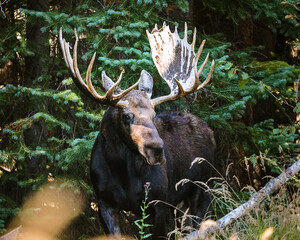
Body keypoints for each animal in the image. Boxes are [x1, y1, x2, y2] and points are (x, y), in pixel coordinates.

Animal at [59, 22, 216, 238]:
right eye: (127, 116)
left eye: (154, 114)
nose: (156, 150)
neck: (123, 173)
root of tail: (210, 131)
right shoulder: (105, 202)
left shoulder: (157, 204)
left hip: (203, 187)